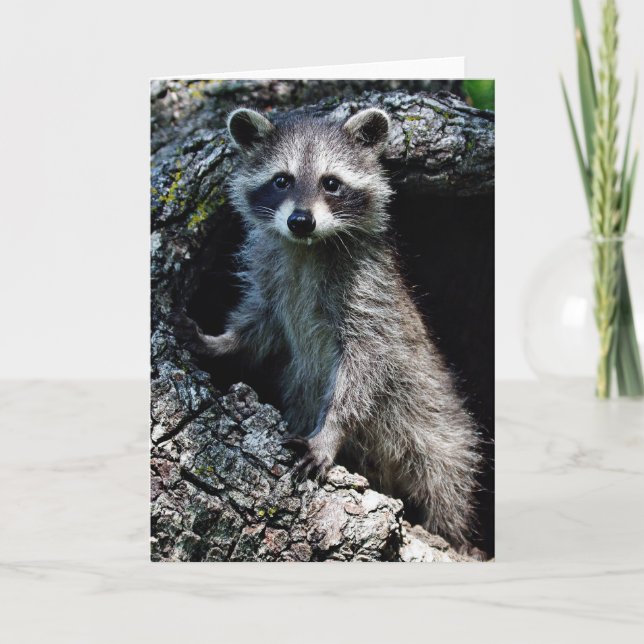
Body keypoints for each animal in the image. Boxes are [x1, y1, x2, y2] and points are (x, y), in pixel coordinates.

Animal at [176, 106, 482, 550]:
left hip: (441, 431)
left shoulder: (368, 295)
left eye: (331, 183)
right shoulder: (272, 281)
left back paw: (447, 531)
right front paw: (218, 343)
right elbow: (258, 329)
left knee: (446, 479)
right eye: (281, 180)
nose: (301, 221)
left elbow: (366, 368)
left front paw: (330, 430)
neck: (307, 248)